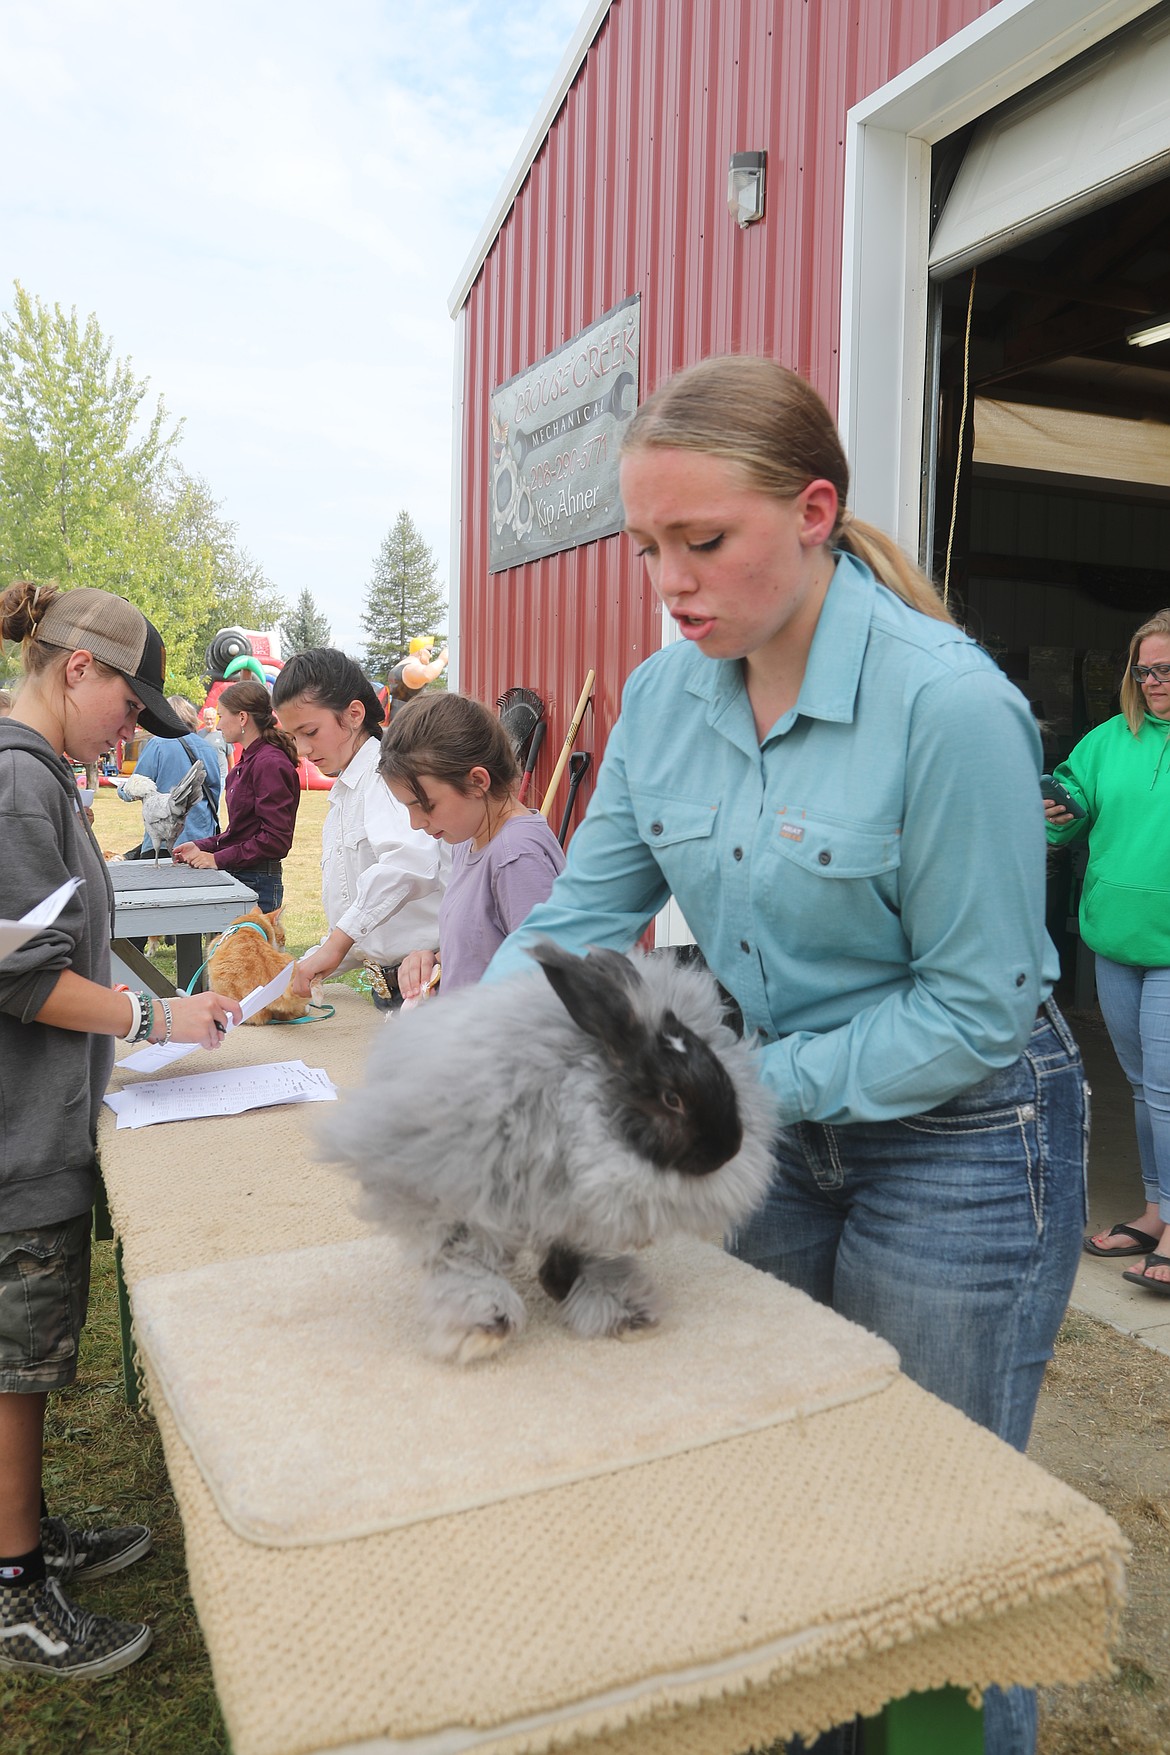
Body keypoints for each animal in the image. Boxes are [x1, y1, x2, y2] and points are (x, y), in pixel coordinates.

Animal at [321, 940, 778, 1361]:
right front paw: (487, 1326)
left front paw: (617, 1311)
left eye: (723, 1076)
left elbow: (574, 1257)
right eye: (671, 1099)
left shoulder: (572, 1214)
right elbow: (469, 1258)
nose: (726, 1150)